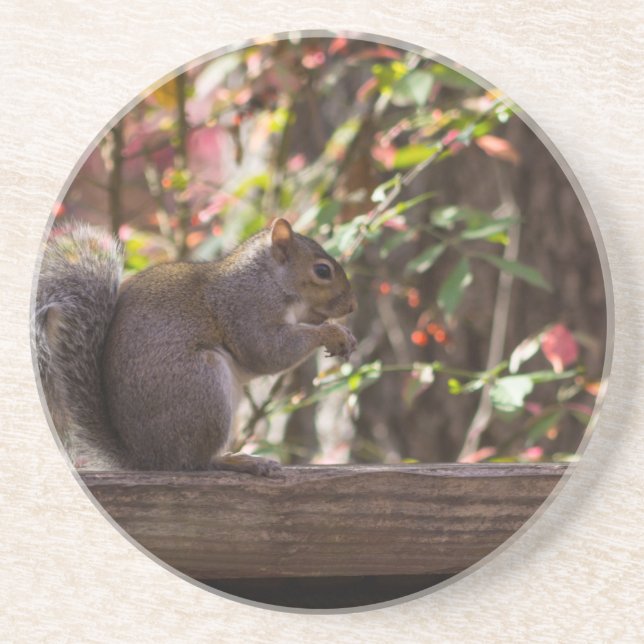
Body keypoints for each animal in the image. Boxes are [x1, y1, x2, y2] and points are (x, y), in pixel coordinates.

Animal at [35, 218, 357, 475]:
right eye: (322, 271)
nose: (352, 306)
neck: (267, 278)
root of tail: (147, 459)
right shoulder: (246, 309)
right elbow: (268, 352)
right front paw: (332, 332)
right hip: (203, 386)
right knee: (195, 462)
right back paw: (238, 461)